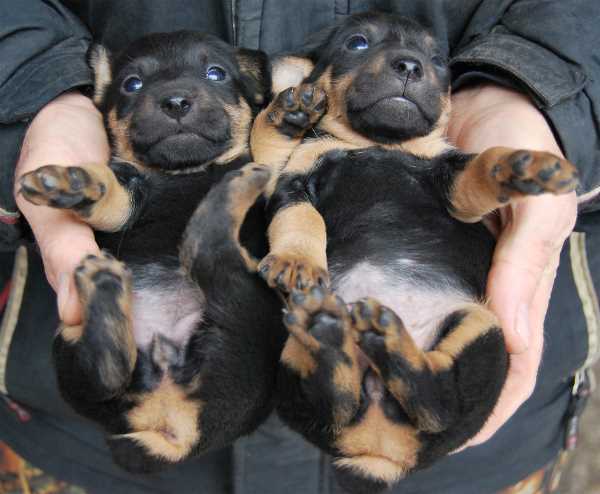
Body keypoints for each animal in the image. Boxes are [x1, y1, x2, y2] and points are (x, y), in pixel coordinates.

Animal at [16, 31, 284, 474]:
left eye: (216, 73)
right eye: (132, 84)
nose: (175, 101)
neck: (185, 174)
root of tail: (180, 430)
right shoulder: (131, 200)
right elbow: (112, 193)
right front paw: (76, 183)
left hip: (252, 314)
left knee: (207, 250)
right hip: (70, 347)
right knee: (108, 372)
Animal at [245, 11, 580, 494]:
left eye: (438, 60)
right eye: (357, 43)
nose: (408, 65)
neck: (377, 142)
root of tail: (381, 454)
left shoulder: (453, 182)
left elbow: (481, 166)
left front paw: (517, 165)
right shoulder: (286, 183)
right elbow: (299, 217)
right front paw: (283, 116)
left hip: (483, 330)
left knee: (437, 400)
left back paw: (381, 340)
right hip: (294, 364)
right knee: (340, 400)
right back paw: (331, 337)